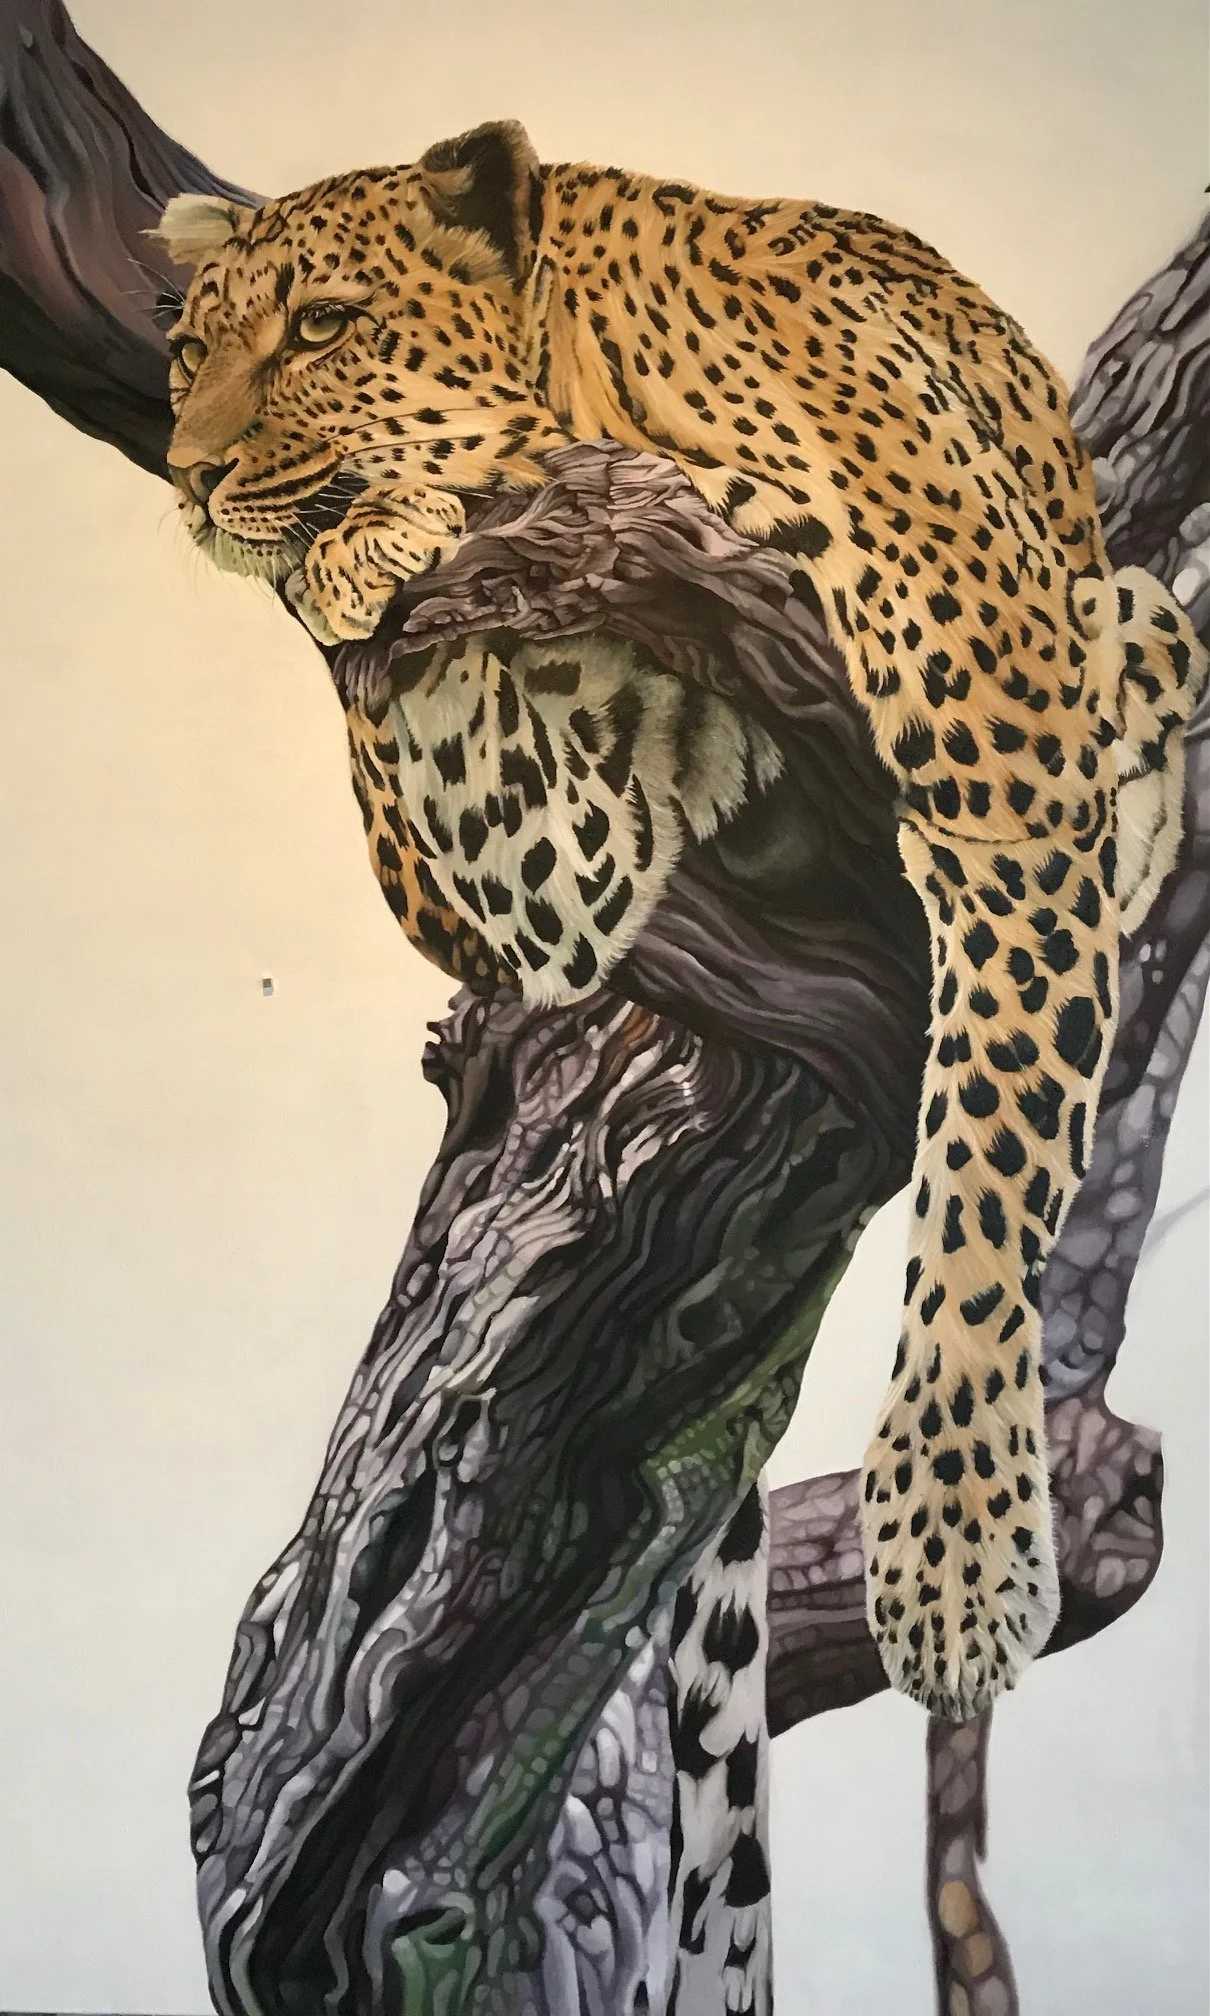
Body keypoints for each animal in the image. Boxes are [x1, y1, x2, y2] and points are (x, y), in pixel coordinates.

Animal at [155, 123, 1206, 1733]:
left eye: (323, 327)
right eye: (188, 352)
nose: (189, 476)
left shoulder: (1012, 801)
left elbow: (986, 1172)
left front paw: (955, 1557)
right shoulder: (555, 851)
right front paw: (364, 553)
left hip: (1139, 617)